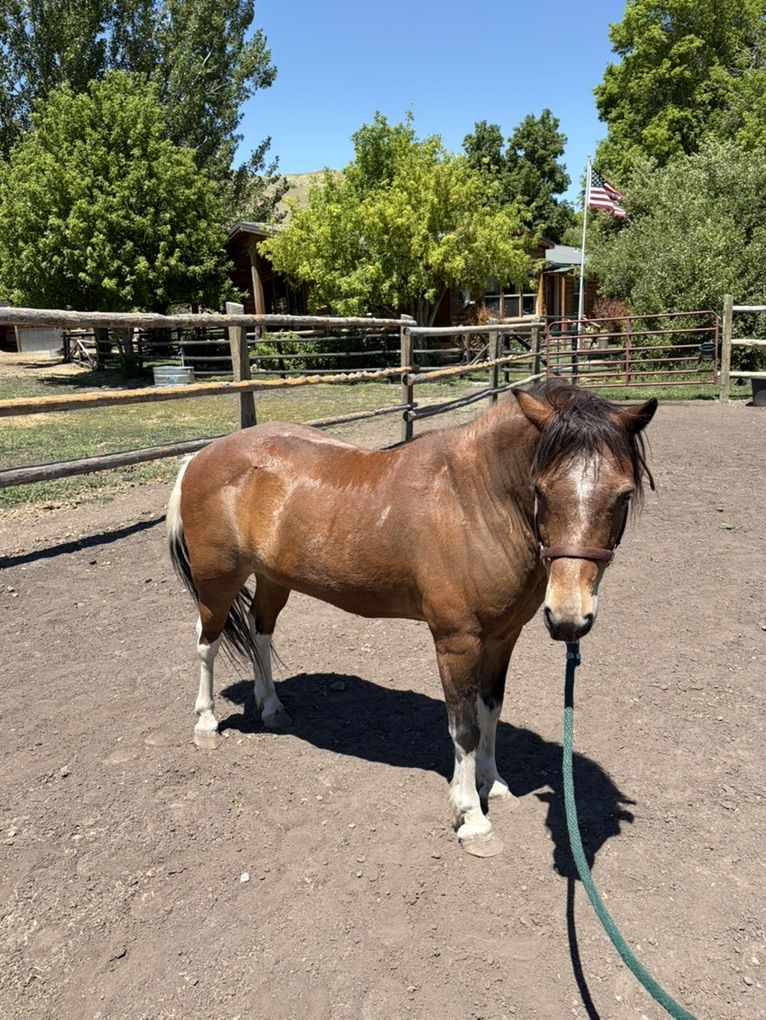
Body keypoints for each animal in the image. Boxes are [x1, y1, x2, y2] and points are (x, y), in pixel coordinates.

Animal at [166, 383, 656, 850]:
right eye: (540, 490)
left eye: (623, 494)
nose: (569, 618)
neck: (475, 502)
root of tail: (201, 457)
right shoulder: (457, 641)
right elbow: (463, 727)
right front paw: (471, 818)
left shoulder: (504, 636)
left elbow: (491, 710)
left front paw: (492, 783)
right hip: (218, 580)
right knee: (206, 640)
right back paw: (207, 724)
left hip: (272, 578)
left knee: (260, 631)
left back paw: (271, 707)